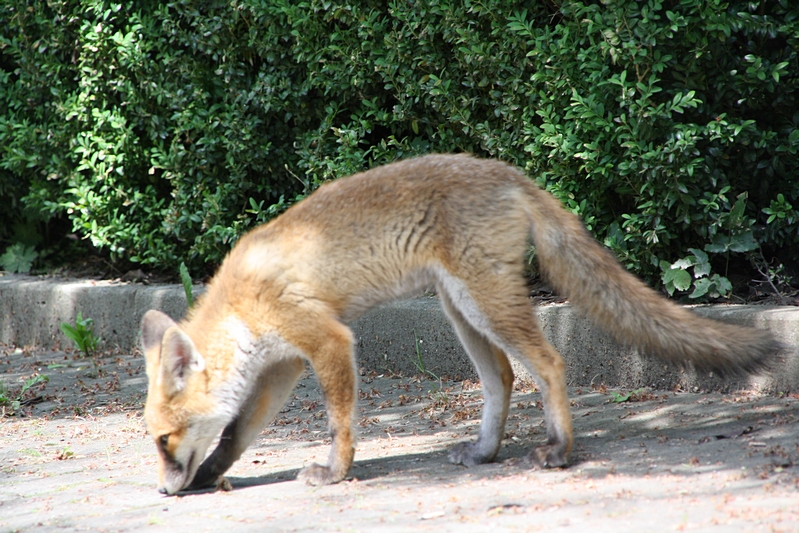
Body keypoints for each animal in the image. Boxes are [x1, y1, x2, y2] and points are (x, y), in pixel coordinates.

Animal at [141, 153, 780, 495]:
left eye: (163, 440)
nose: (165, 490)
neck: (242, 305)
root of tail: (507, 172)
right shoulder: (285, 364)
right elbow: (236, 433)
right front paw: (212, 476)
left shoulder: (329, 342)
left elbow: (339, 423)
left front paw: (336, 472)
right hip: (461, 311)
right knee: (503, 377)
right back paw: (485, 453)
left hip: (485, 303)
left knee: (549, 363)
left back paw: (562, 450)